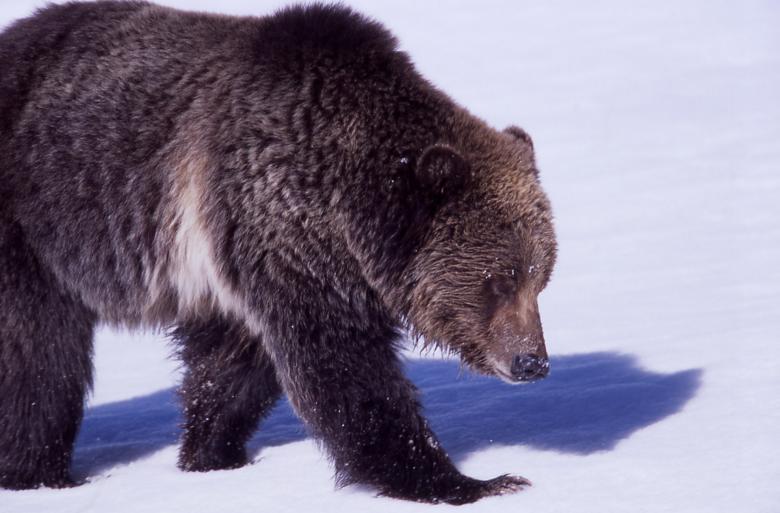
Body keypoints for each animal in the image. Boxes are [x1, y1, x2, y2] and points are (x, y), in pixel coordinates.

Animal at [0, 1, 557, 504]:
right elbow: (344, 368)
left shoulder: (241, 263)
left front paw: (211, 452)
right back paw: (39, 472)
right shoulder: (282, 224)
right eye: (500, 278)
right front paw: (469, 481)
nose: (532, 362)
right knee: (39, 355)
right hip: (33, 224)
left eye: (539, 276)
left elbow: (231, 366)